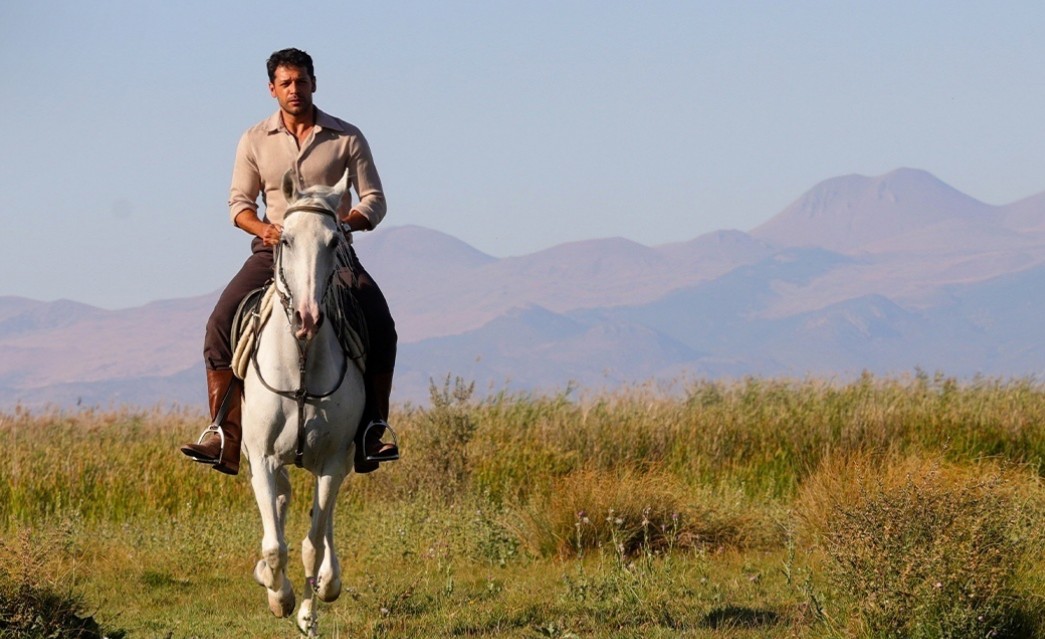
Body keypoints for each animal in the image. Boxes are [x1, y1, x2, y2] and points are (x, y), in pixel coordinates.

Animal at [242, 169, 365, 636]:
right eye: (287, 239)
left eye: (334, 241)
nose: (307, 318)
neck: (300, 361)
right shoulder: (261, 456)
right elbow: (275, 545)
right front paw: (279, 596)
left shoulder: (331, 460)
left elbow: (311, 542)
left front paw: (308, 613)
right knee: (280, 502)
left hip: (340, 460)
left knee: (322, 518)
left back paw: (330, 581)